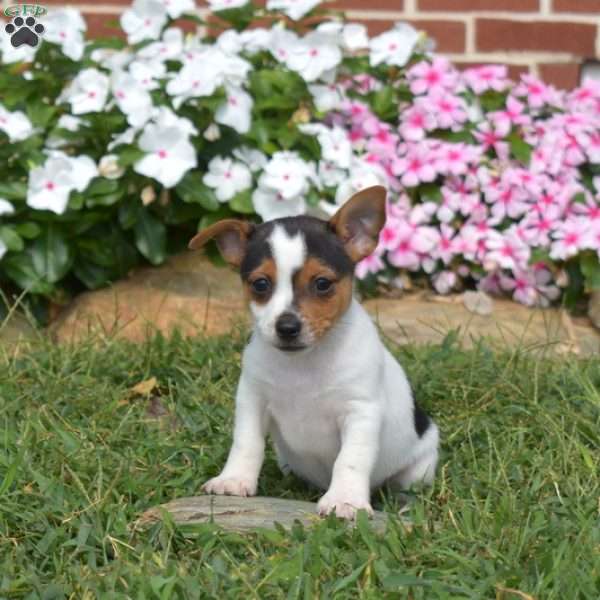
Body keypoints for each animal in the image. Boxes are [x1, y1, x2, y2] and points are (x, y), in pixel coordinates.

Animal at [190, 185, 438, 516]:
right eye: (260, 284)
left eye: (322, 283)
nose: (287, 327)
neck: (304, 363)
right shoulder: (252, 400)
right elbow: (246, 443)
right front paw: (234, 479)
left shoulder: (360, 412)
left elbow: (350, 460)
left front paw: (345, 500)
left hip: (420, 465)